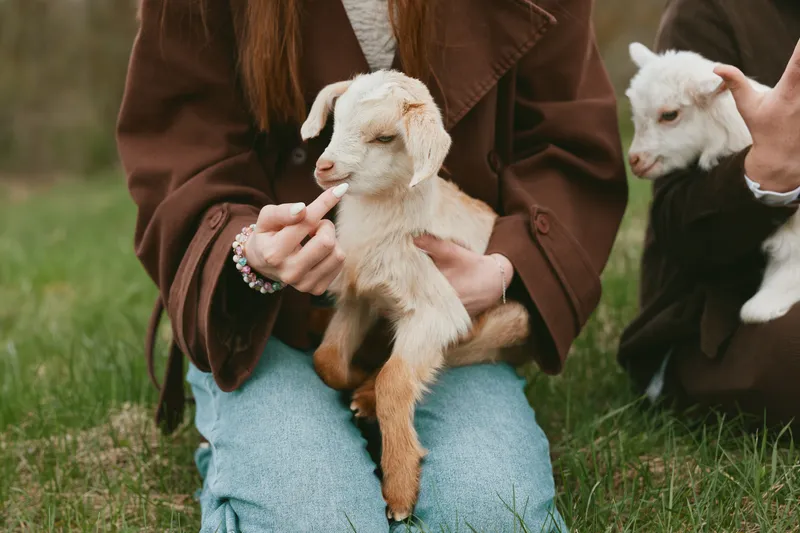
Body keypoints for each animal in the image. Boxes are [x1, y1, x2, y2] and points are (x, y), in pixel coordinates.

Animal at [300, 70, 530, 520]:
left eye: (386, 137)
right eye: (336, 120)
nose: (324, 166)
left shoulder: (436, 309)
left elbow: (395, 380)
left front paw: (400, 490)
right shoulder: (360, 294)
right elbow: (327, 359)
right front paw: (353, 376)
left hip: (506, 323)